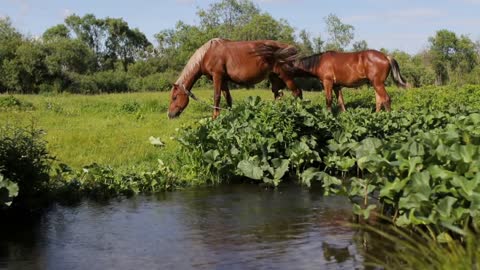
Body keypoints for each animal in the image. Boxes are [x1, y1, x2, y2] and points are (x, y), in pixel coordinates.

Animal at [169, 37, 302, 118]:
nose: (170, 115)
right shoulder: (223, 80)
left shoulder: (217, 76)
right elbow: (228, 98)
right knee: (278, 96)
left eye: (175, 97)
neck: (207, 54)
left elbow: (216, 97)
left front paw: (214, 117)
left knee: (297, 92)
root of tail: (290, 48)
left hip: (285, 76)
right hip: (275, 78)